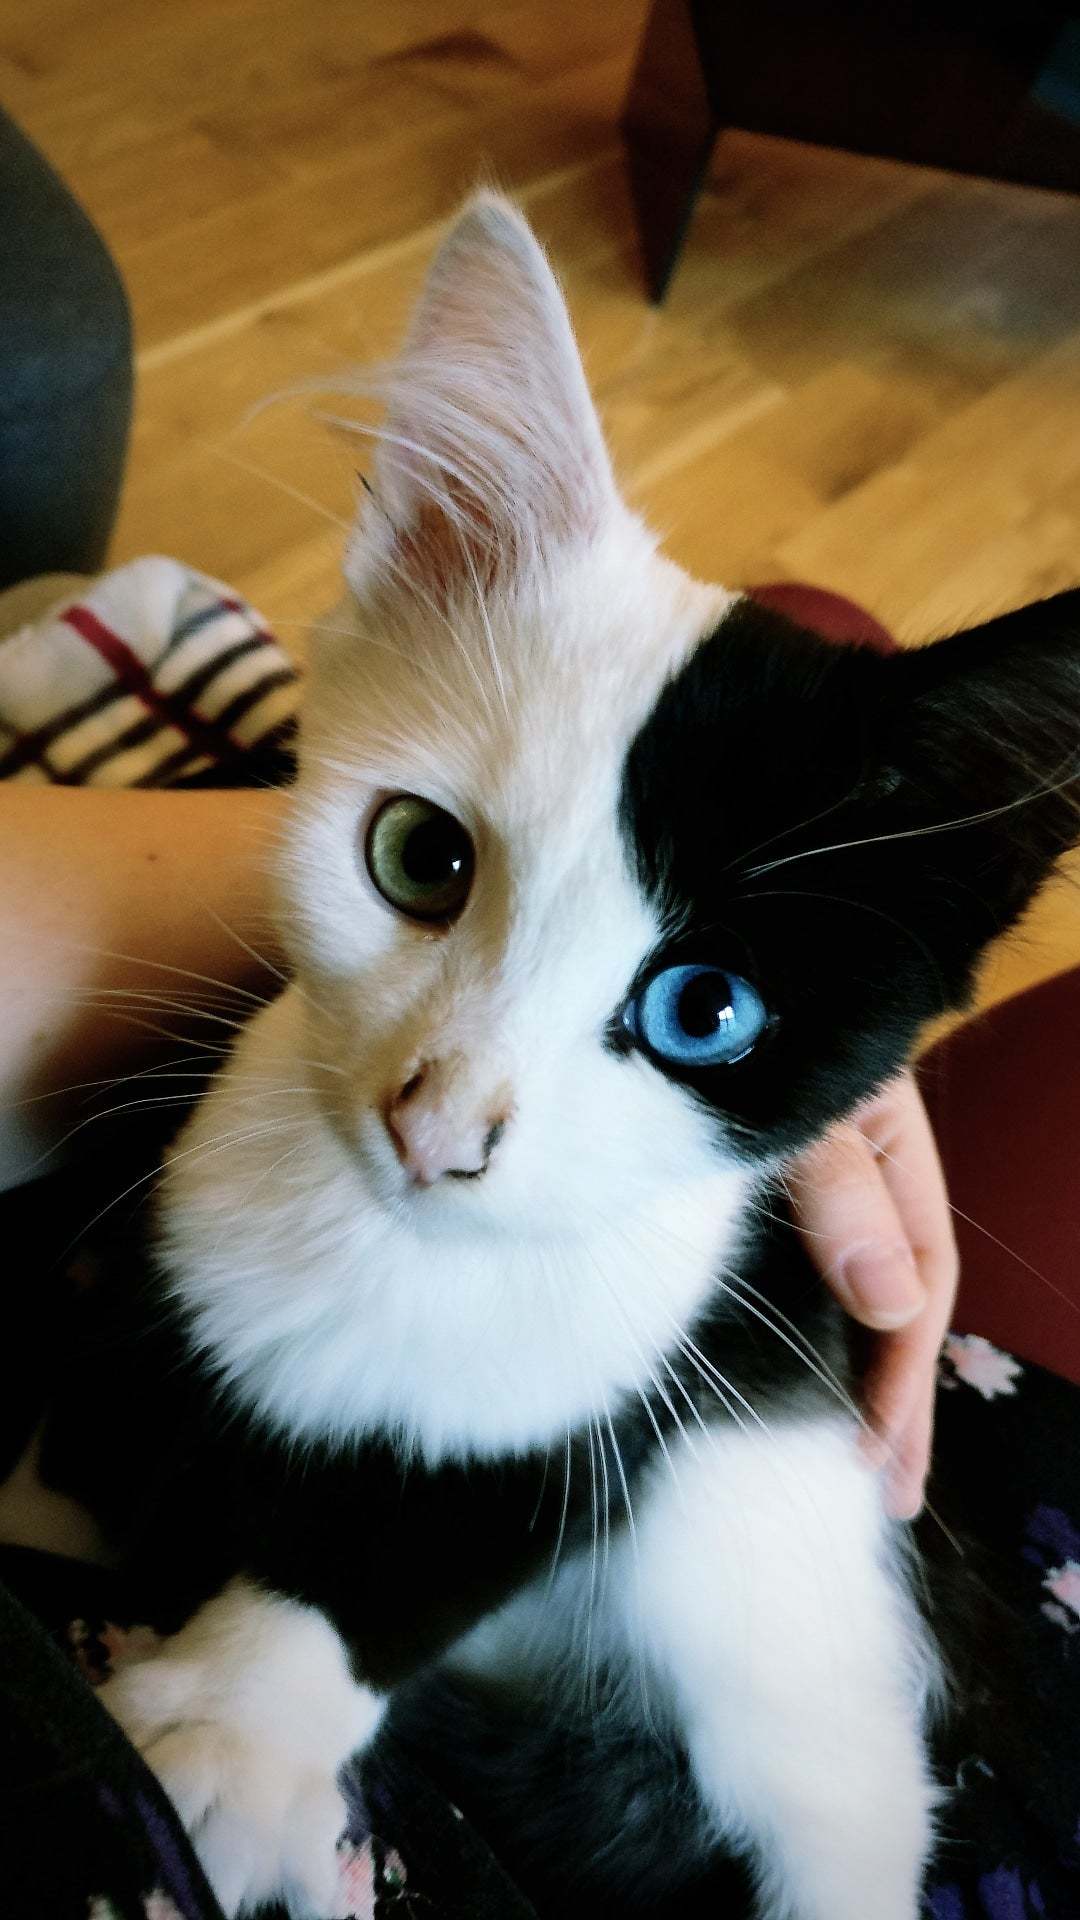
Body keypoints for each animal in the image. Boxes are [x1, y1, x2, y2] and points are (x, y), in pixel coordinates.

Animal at [37, 194, 1076, 1920]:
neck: (396, 1269)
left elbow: (442, 1537)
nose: (438, 1127)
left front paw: (234, 1728)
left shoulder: (644, 1375)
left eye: (704, 1012)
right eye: (418, 858)